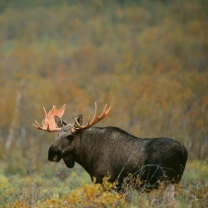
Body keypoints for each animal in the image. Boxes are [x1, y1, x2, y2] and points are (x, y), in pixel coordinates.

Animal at [33, 103, 188, 191]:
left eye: (70, 136)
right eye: (57, 134)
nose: (51, 153)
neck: (87, 157)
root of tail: (184, 152)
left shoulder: (105, 180)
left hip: (165, 180)